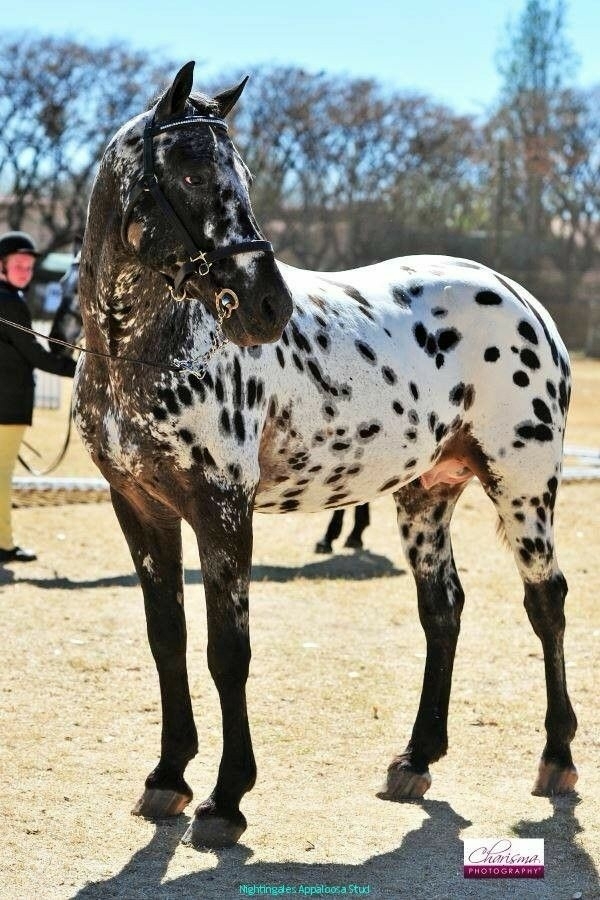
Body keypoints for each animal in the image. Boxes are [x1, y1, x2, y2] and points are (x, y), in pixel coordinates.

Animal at [70, 61, 578, 849]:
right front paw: (168, 776)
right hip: (426, 495)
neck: (149, 351)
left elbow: (228, 651)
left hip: (523, 489)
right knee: (443, 609)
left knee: (545, 602)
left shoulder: (223, 511)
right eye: (191, 170)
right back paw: (416, 759)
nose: (265, 306)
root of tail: (524, 299)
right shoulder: (142, 510)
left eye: (243, 173)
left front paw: (226, 798)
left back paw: (556, 758)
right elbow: (167, 640)